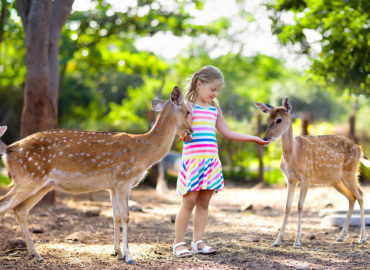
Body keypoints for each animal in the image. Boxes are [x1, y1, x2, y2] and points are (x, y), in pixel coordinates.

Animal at [0, 87, 192, 264]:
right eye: (189, 111)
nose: (190, 131)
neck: (144, 152)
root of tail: (8, 151)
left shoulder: (112, 186)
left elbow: (115, 216)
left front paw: (117, 252)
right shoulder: (124, 180)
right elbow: (126, 216)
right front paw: (129, 256)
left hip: (41, 184)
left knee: (20, 210)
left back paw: (36, 254)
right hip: (29, 178)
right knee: (5, 204)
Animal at [256, 98, 368, 247]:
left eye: (279, 120)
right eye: (268, 119)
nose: (265, 138)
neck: (294, 154)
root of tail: (360, 149)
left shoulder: (306, 176)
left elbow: (300, 205)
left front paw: (297, 242)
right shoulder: (290, 179)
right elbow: (287, 207)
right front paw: (277, 241)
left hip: (350, 172)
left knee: (360, 195)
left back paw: (362, 237)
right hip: (336, 180)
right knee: (351, 197)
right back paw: (340, 237)